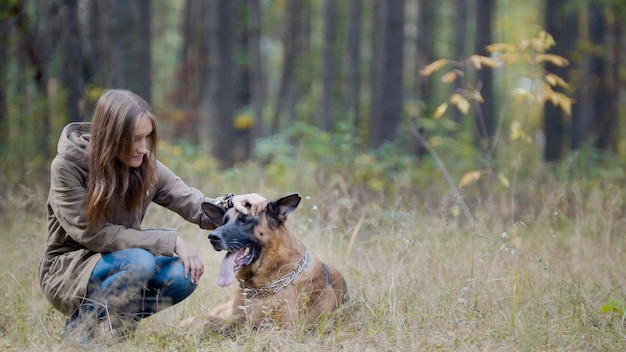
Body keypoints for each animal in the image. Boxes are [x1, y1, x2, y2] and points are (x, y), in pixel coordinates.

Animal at [191, 194, 346, 334]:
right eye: (224, 222)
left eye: (245, 220)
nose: (212, 237)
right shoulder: (236, 320)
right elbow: (211, 323)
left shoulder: (285, 329)